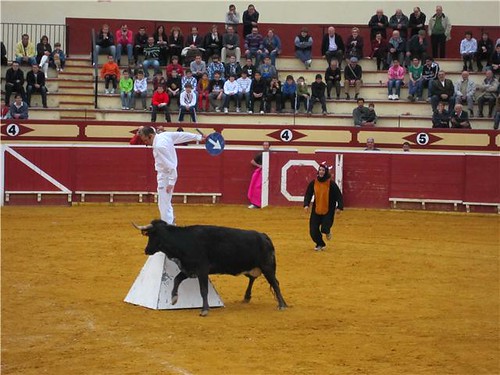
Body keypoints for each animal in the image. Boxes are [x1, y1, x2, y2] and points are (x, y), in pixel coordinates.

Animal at [135, 220, 288, 318]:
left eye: (152, 234)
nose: (146, 250)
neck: (184, 240)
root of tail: (264, 236)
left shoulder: (202, 269)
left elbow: (203, 290)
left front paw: (204, 310)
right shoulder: (189, 269)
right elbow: (177, 279)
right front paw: (173, 298)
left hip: (267, 267)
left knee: (274, 283)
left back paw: (281, 305)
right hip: (254, 267)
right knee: (256, 279)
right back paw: (250, 298)